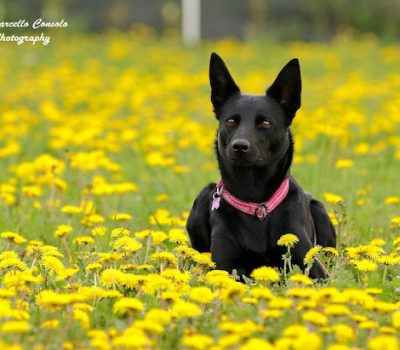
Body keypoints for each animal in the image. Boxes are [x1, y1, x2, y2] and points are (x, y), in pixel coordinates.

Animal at [186, 53, 336, 280]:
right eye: (231, 121)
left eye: (265, 123)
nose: (239, 146)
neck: (256, 203)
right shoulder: (223, 266)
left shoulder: (313, 268)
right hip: (204, 196)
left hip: (319, 210)